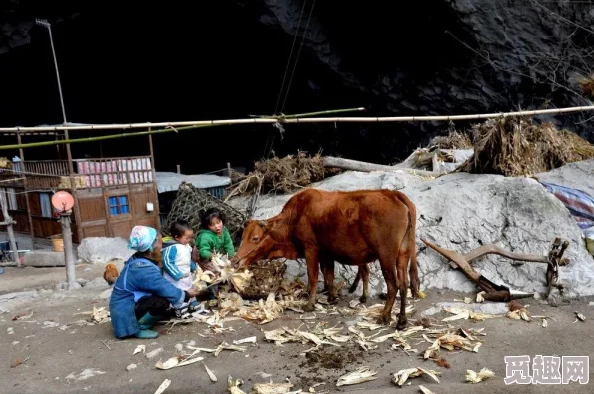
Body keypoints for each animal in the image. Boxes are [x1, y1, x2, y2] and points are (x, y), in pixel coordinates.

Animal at [234, 187, 418, 326]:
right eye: (242, 237)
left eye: (255, 238)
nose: (235, 260)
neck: (297, 214)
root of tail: (393, 194)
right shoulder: (326, 254)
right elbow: (329, 275)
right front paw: (332, 297)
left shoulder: (311, 249)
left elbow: (314, 277)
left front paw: (310, 304)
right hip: (402, 255)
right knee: (404, 284)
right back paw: (401, 320)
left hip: (386, 256)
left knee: (393, 285)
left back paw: (385, 315)